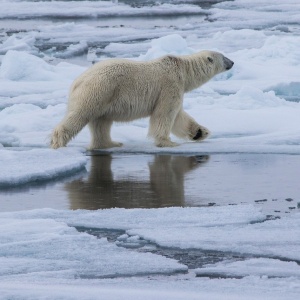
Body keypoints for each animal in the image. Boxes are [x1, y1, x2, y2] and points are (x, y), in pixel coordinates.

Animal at [50, 51, 233, 150]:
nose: (232, 62)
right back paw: (58, 141)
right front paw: (167, 142)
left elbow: (179, 117)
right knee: (80, 115)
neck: (181, 69)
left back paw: (111, 143)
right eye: (224, 57)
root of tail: (77, 81)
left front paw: (200, 132)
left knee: (101, 122)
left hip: (104, 97)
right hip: (98, 91)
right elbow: (165, 114)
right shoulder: (169, 86)